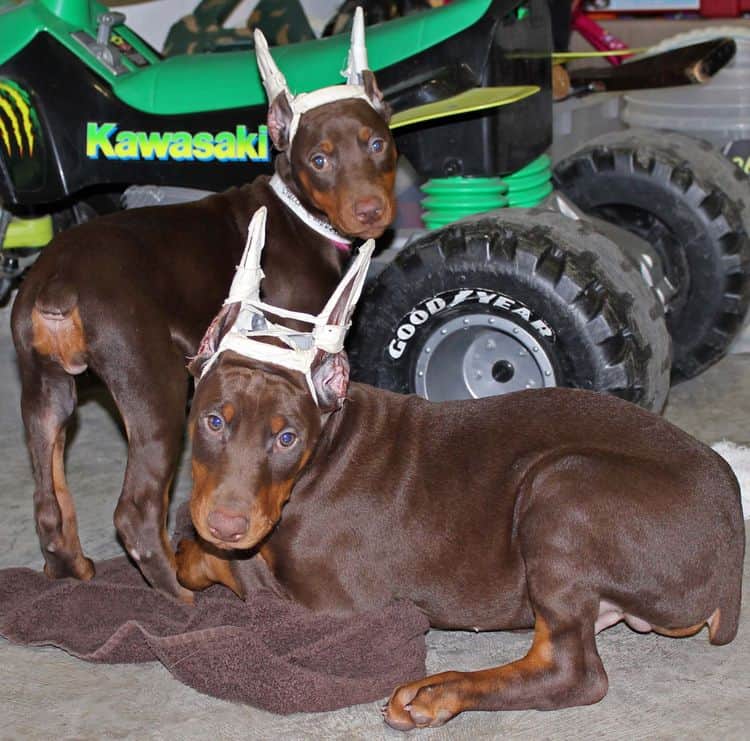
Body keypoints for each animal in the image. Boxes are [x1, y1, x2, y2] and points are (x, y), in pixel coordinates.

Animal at [8, 17, 396, 604]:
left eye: (377, 144)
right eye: (319, 159)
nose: (371, 212)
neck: (299, 212)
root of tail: (56, 282)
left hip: (44, 386)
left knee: (48, 499)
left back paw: (70, 572)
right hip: (156, 387)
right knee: (136, 511)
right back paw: (181, 599)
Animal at [178, 212, 748, 728]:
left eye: (287, 438)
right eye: (213, 421)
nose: (227, 525)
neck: (324, 453)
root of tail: (731, 561)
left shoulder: (336, 607)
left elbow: (238, 572)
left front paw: (190, 557)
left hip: (563, 487)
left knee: (573, 672)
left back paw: (437, 693)